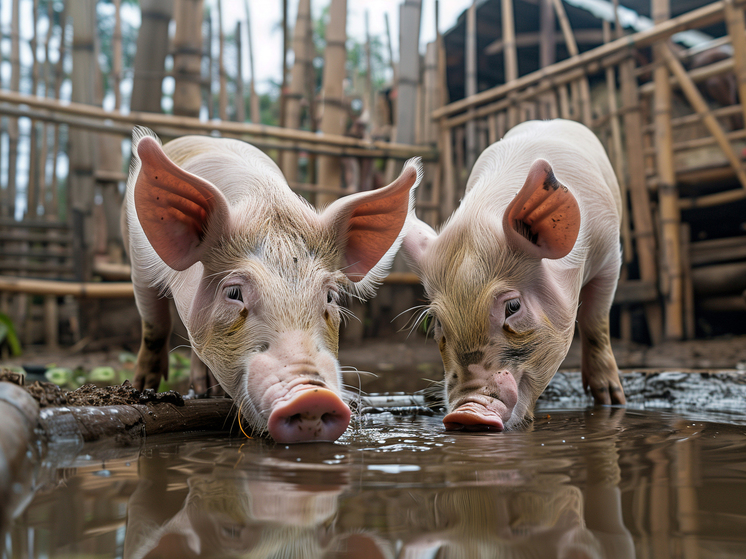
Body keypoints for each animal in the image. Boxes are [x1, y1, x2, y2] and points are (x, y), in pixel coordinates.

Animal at [122, 126, 418, 442]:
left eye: (330, 296)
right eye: (234, 292)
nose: (312, 396)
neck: (263, 202)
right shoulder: (140, 265)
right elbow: (155, 325)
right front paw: (142, 389)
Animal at [402, 119, 620, 434]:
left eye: (513, 307)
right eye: (437, 321)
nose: (466, 413)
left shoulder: (611, 256)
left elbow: (596, 322)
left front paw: (611, 400)